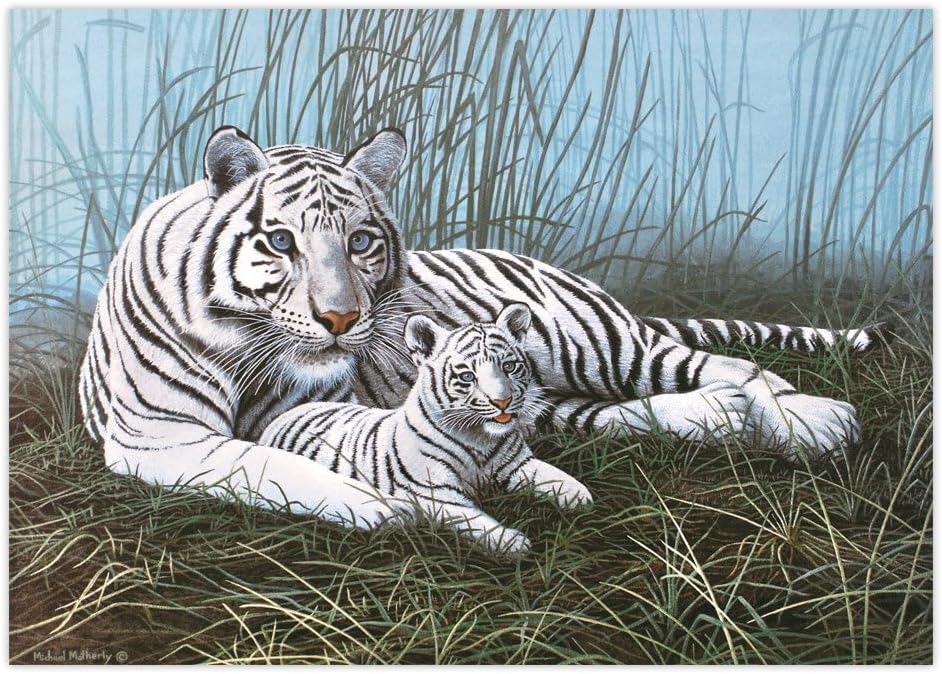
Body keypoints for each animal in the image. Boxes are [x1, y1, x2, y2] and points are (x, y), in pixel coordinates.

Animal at [78, 124, 889, 528]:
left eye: (361, 242)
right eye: (280, 242)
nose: (341, 319)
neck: (254, 347)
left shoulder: (315, 408)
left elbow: (287, 455)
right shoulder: (162, 438)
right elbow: (263, 466)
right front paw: (381, 506)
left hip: (599, 348)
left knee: (733, 367)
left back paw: (813, 422)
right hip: (561, 397)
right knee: (637, 412)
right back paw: (721, 418)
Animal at [259, 303, 591, 554]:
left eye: (509, 367)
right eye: (468, 376)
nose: (503, 402)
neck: (480, 439)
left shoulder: (518, 464)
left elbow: (555, 477)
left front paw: (581, 497)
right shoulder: (437, 494)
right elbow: (476, 520)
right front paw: (513, 542)